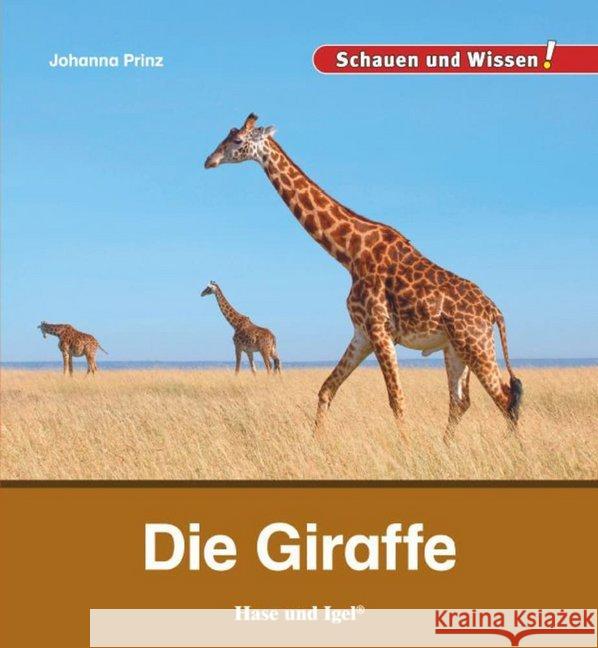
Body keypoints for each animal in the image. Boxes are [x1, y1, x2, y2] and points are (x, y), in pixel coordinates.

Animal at [204, 114, 522, 440]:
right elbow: (326, 389)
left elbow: (396, 399)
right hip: (455, 348)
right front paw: (316, 441)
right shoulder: (362, 333)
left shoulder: (380, 329)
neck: (351, 254)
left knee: (505, 397)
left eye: (238, 140)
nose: (209, 160)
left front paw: (406, 447)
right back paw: (446, 446)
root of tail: (494, 311)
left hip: (476, 344)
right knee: (461, 401)